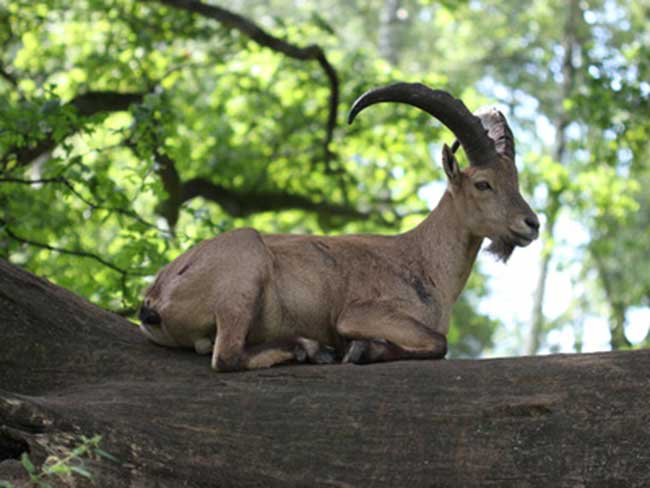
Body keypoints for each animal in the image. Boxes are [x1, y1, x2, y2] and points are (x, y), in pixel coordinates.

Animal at [139, 83, 540, 370]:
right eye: (483, 183)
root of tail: (155, 297)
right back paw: (311, 349)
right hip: (244, 267)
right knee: (226, 357)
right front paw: (362, 350)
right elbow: (439, 344)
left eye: (515, 181)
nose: (532, 224)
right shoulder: (360, 314)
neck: (424, 261)